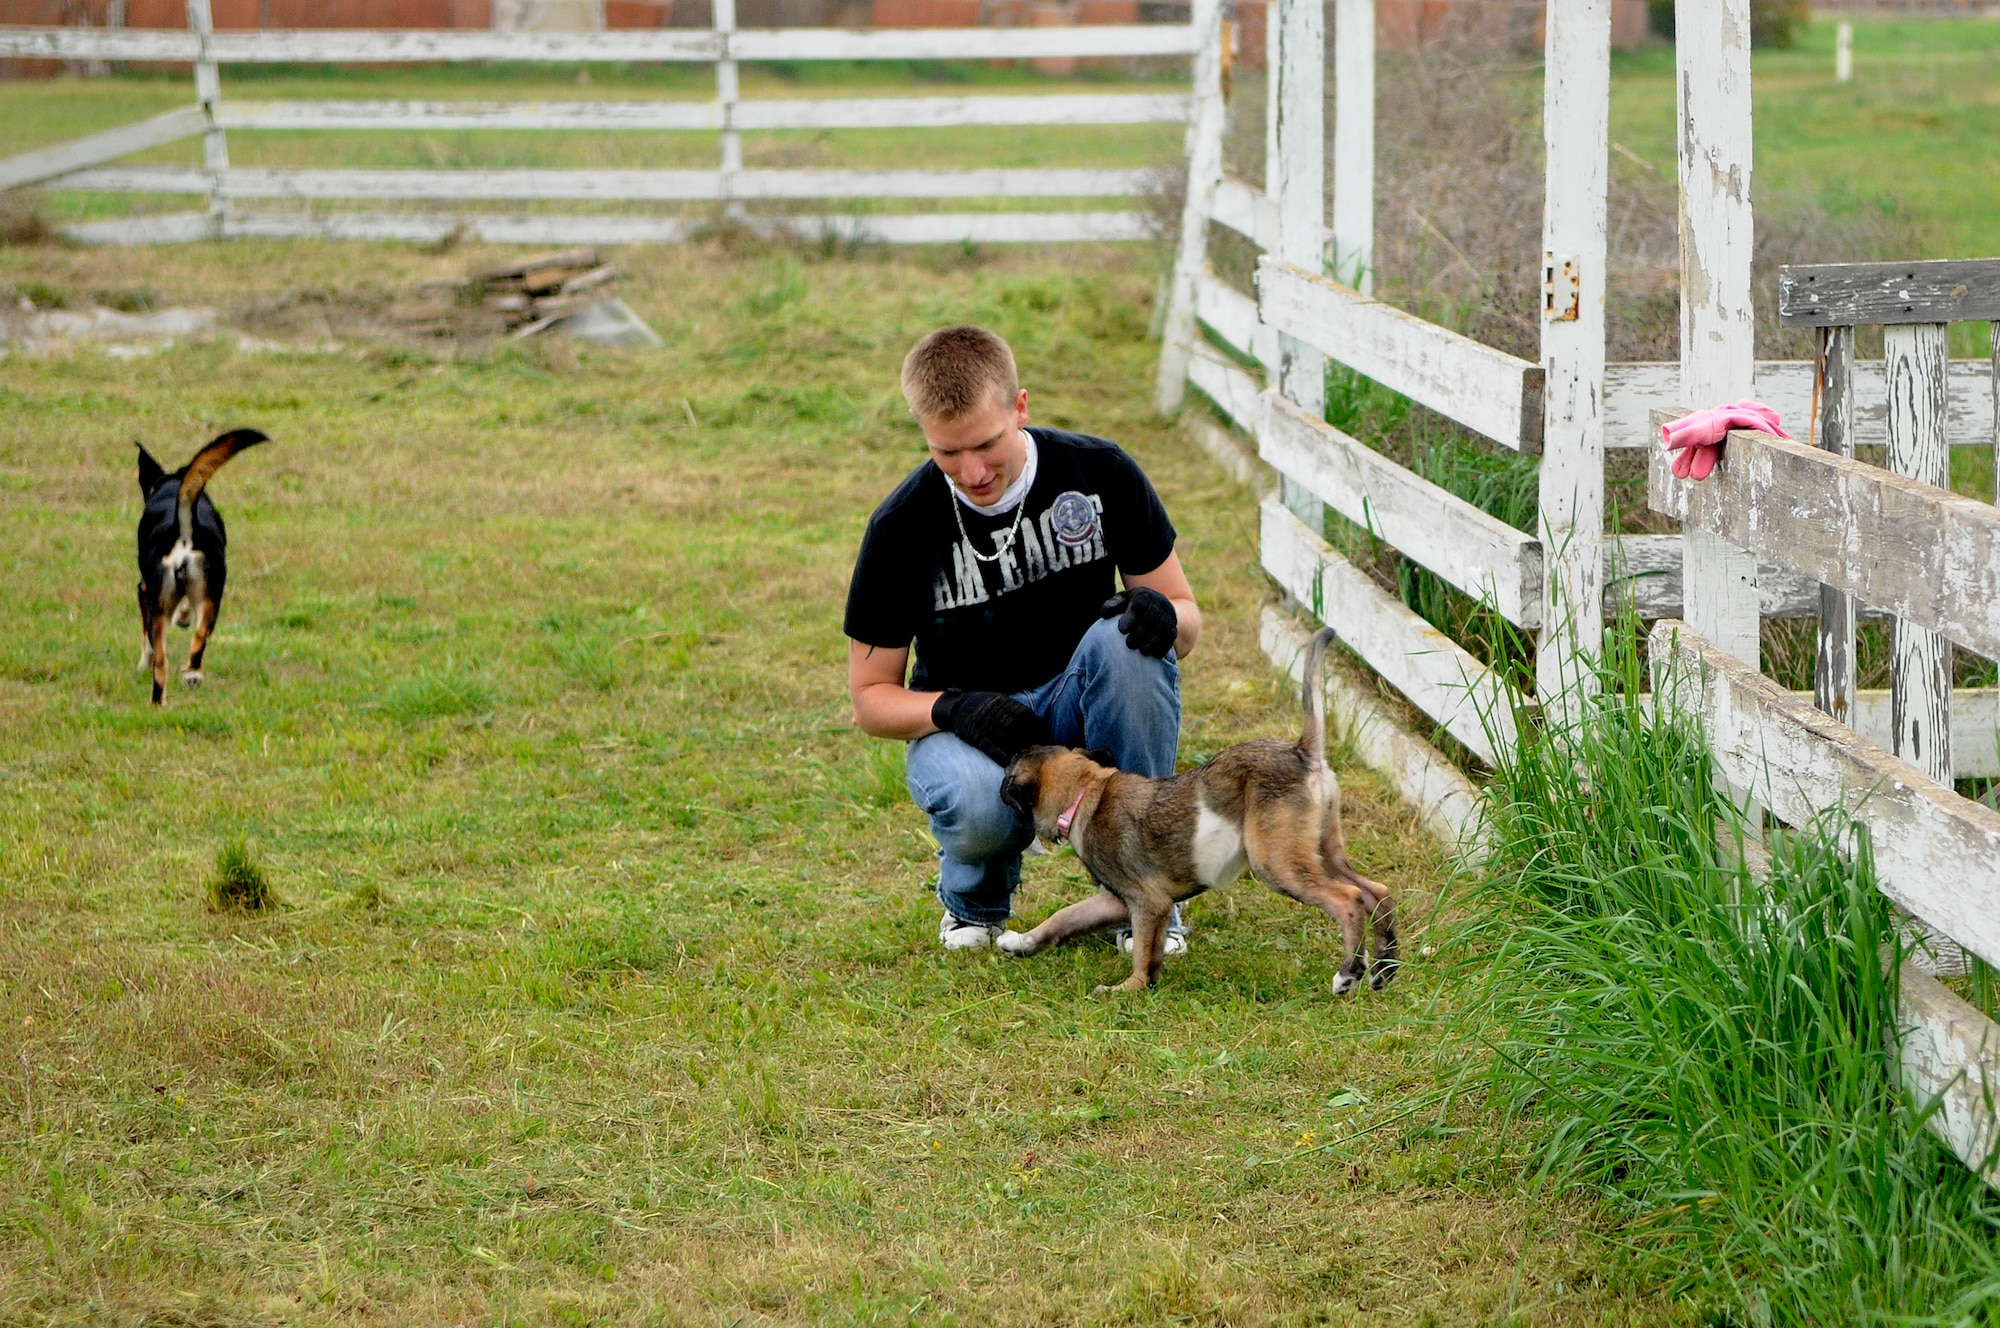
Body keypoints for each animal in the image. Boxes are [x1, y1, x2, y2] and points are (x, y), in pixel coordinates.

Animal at [136, 434, 270, 704]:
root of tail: (184, 529)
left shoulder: (144, 590)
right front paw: (183, 616)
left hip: (159, 604)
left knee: (161, 663)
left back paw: (158, 701)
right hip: (211, 598)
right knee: (196, 642)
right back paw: (191, 676)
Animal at [996, 624, 1392, 996]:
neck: (1085, 794)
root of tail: (1302, 751)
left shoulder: (1147, 902)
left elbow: (1141, 953)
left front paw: (1128, 989)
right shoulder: (1117, 900)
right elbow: (1067, 916)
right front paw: (1023, 942)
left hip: (1277, 863)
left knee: (1349, 898)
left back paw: (1348, 974)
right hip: (1324, 850)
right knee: (1376, 891)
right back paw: (1385, 968)